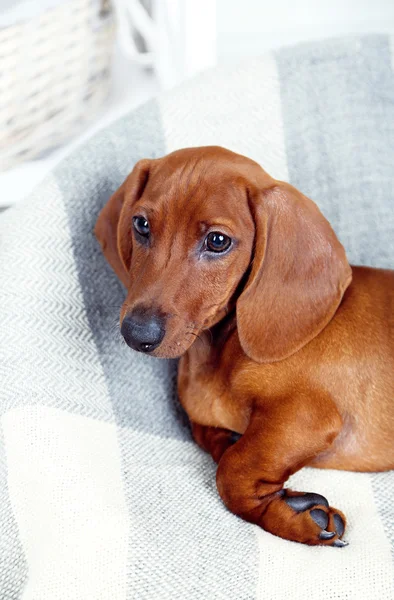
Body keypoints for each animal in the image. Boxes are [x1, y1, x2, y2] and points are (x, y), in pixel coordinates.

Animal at [95, 146, 394, 548]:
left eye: (218, 241)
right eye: (141, 224)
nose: (136, 333)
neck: (218, 352)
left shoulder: (306, 415)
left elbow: (232, 470)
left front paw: (293, 518)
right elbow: (222, 446)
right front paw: (286, 500)